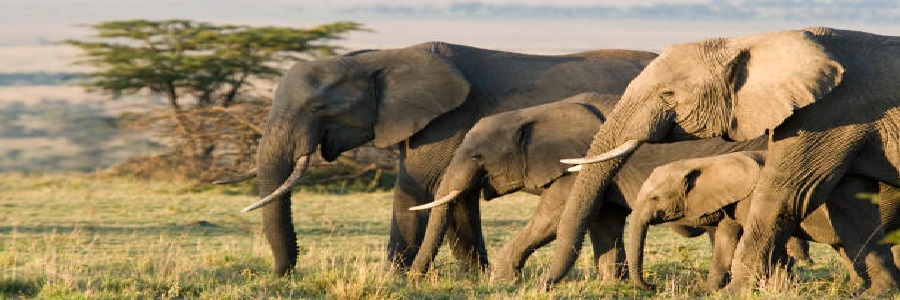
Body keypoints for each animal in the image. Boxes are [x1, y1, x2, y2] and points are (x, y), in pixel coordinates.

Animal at [223, 42, 660, 276]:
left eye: (318, 108)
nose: (282, 275)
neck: (379, 59)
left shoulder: (447, 120)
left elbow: (419, 189)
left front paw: (393, 279)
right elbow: (455, 198)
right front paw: (476, 278)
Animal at [408, 92, 768, 282]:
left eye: (478, 156)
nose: (413, 278)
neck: (539, 112)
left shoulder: (576, 167)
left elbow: (552, 217)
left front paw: (503, 278)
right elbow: (604, 222)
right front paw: (613, 284)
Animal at [624, 151, 900, 292]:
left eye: (654, 197)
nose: (651, 286)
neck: (709, 161)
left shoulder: (752, 198)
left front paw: (778, 291)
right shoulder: (733, 201)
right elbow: (725, 239)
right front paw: (708, 291)